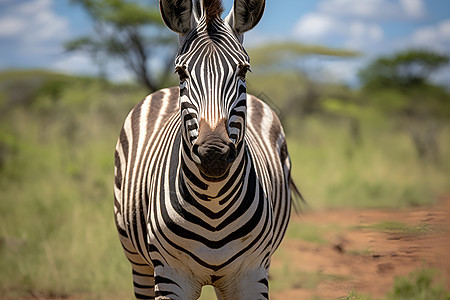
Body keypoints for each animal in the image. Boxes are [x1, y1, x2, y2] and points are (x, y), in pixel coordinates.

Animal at [114, 0, 300, 298]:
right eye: (181, 72)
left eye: (243, 71)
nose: (214, 154)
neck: (213, 203)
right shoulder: (170, 275)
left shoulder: (252, 274)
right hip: (138, 263)